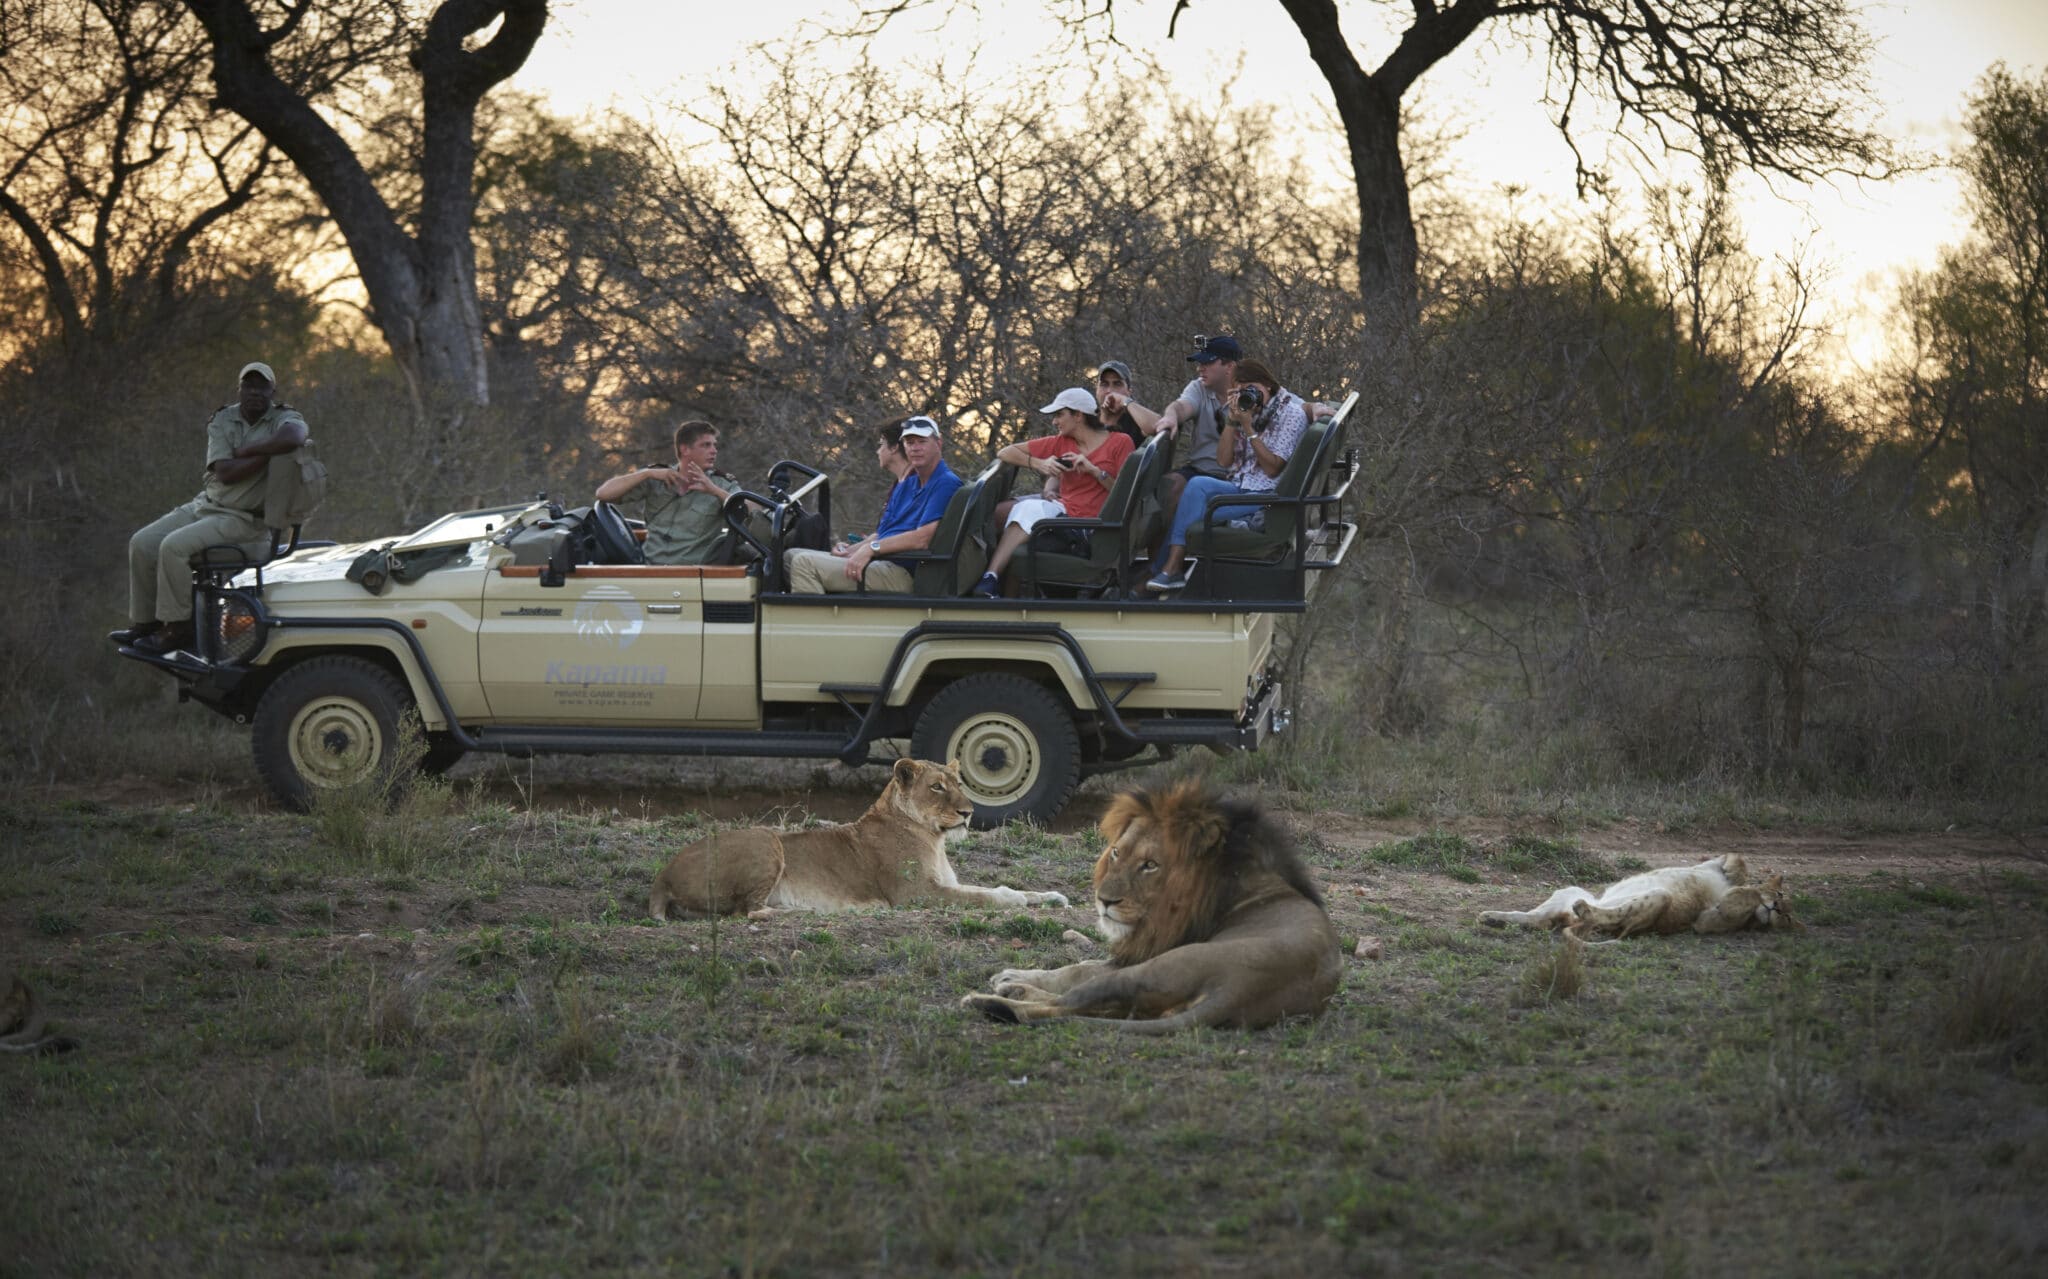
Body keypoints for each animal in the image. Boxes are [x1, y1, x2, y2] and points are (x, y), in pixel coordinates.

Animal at [647, 758, 1070, 918]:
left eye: (959, 783)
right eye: (937, 787)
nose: (968, 812)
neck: (935, 839)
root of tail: (662, 875)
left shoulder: (942, 883)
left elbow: (997, 886)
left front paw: (1052, 896)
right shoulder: (915, 894)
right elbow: (986, 896)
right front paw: (1014, 900)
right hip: (767, 841)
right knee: (746, 910)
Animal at [960, 781, 1343, 1034]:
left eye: (1150, 865)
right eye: (1116, 852)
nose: (1104, 900)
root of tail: (1238, 989)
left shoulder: (1146, 951)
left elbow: (1077, 969)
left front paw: (1010, 976)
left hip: (1154, 970)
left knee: (1064, 1002)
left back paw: (991, 1000)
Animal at [1478, 854, 1803, 942]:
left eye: (1787, 917)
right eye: (1781, 895)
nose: (1776, 907)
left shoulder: (1703, 921)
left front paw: (1748, 900)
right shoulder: (1711, 863)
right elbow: (1739, 864)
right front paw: (1746, 886)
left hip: (1658, 897)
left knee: (1602, 917)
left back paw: (1586, 910)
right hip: (1568, 889)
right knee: (1536, 919)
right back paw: (1491, 918)